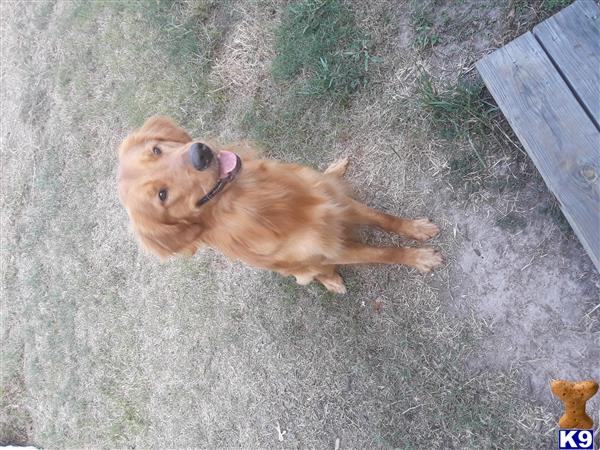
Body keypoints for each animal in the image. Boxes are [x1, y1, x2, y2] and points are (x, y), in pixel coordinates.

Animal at [118, 116, 440, 294]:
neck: (265, 200)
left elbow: (383, 218)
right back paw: (332, 282)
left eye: (156, 149)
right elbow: (383, 253)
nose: (201, 153)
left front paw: (417, 229)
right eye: (162, 195)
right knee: (314, 275)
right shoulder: (333, 250)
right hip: (304, 271)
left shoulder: (336, 201)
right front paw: (419, 258)